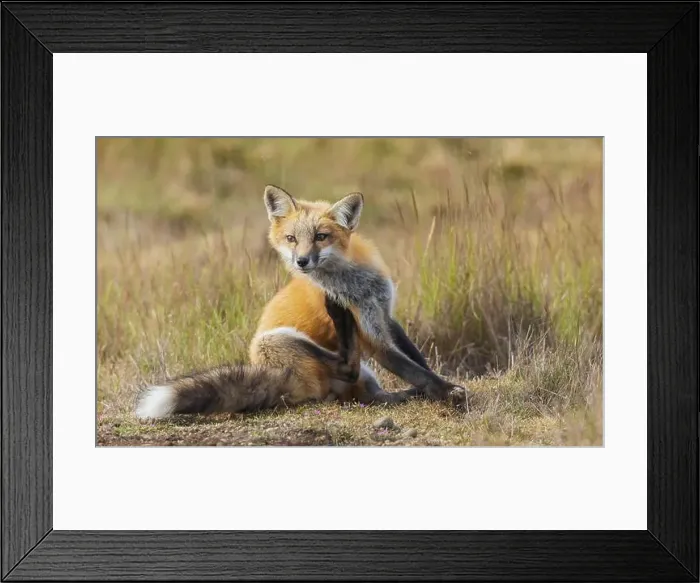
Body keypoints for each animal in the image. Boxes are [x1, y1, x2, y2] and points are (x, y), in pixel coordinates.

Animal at [135, 185, 465, 419]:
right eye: (292, 239)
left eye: (321, 236)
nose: (302, 262)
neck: (355, 284)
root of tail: (276, 378)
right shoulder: (372, 336)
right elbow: (412, 368)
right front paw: (448, 392)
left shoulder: (385, 315)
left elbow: (417, 360)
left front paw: (441, 386)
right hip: (278, 341)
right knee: (346, 365)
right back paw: (339, 316)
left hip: (363, 377)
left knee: (372, 394)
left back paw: (405, 394)